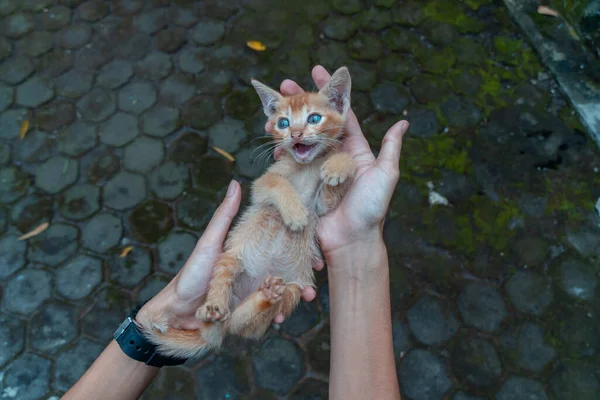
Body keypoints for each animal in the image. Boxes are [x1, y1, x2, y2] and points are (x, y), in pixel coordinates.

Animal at [138, 67, 356, 358]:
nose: (296, 135)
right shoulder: (261, 185)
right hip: (228, 260)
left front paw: (338, 166)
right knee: (219, 322)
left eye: (314, 118)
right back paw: (213, 310)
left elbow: (333, 187)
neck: (306, 167)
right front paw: (295, 213)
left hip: (292, 289)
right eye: (283, 123)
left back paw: (266, 296)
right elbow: (276, 184)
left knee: (239, 325)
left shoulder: (322, 205)